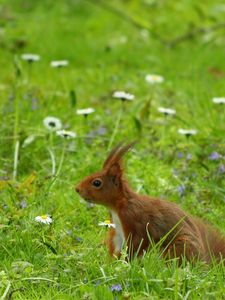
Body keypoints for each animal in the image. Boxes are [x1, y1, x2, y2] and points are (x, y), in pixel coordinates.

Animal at [75, 142, 225, 262]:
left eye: (97, 183)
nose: (77, 189)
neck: (120, 205)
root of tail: (204, 261)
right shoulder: (117, 230)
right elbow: (117, 245)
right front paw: (112, 265)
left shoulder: (136, 221)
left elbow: (136, 244)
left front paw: (125, 264)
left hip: (180, 246)